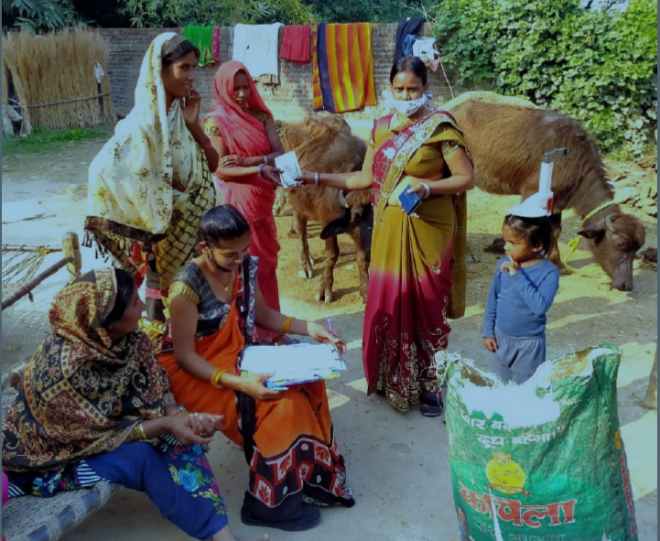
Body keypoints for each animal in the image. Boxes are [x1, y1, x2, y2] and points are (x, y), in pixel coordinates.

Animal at [278, 114, 372, 302]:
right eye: (358, 214)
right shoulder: (326, 219)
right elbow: (332, 254)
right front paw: (325, 289)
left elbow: (363, 257)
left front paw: (365, 289)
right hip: (298, 202)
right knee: (300, 230)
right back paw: (306, 264)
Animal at [448, 96, 644, 292]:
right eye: (620, 244)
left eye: (637, 249)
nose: (626, 284)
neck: (574, 160)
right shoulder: (531, 193)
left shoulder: (557, 200)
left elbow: (555, 230)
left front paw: (557, 262)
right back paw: (467, 254)